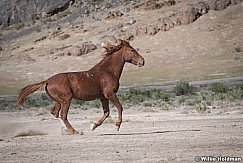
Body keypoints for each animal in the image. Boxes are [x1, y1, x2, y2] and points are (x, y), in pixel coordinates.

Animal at [17, 38, 146, 134]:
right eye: (132, 50)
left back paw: (66, 130)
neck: (107, 71)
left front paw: (93, 125)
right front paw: (117, 125)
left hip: (58, 101)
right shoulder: (110, 94)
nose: (143, 61)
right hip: (66, 100)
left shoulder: (103, 97)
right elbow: (120, 107)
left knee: (55, 113)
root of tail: (47, 81)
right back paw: (74, 131)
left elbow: (107, 112)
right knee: (63, 115)